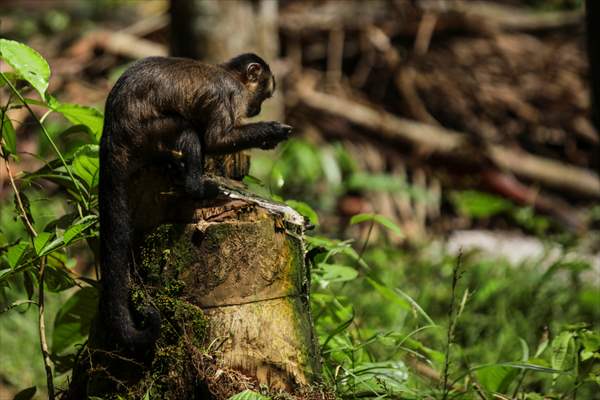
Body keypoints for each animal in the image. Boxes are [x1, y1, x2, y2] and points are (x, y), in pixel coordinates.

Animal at [99, 52, 292, 350]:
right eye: (263, 94)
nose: (258, 110)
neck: (230, 75)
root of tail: (111, 131)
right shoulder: (228, 94)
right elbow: (215, 140)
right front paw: (271, 132)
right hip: (141, 133)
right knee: (186, 129)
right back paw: (196, 187)